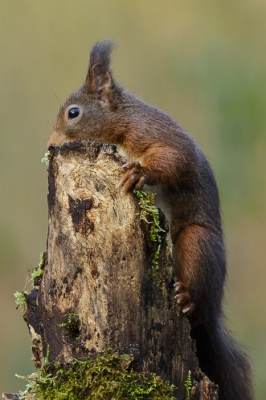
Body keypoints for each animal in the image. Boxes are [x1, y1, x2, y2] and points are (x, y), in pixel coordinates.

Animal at [47, 39, 254, 400]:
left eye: (73, 113)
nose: (50, 145)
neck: (124, 119)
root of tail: (212, 318)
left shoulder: (154, 134)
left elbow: (176, 158)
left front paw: (139, 173)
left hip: (197, 244)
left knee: (198, 302)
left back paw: (188, 298)